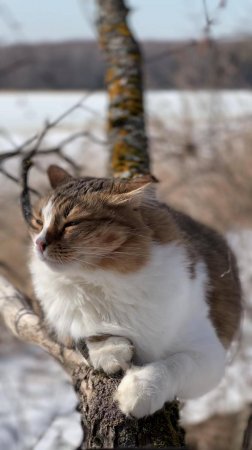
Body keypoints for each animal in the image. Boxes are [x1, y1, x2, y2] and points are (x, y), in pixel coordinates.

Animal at [29, 164, 242, 418]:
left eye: (72, 223)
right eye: (38, 222)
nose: (39, 243)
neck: (104, 280)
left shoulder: (208, 352)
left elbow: (175, 364)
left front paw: (141, 390)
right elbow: (88, 330)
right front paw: (110, 349)